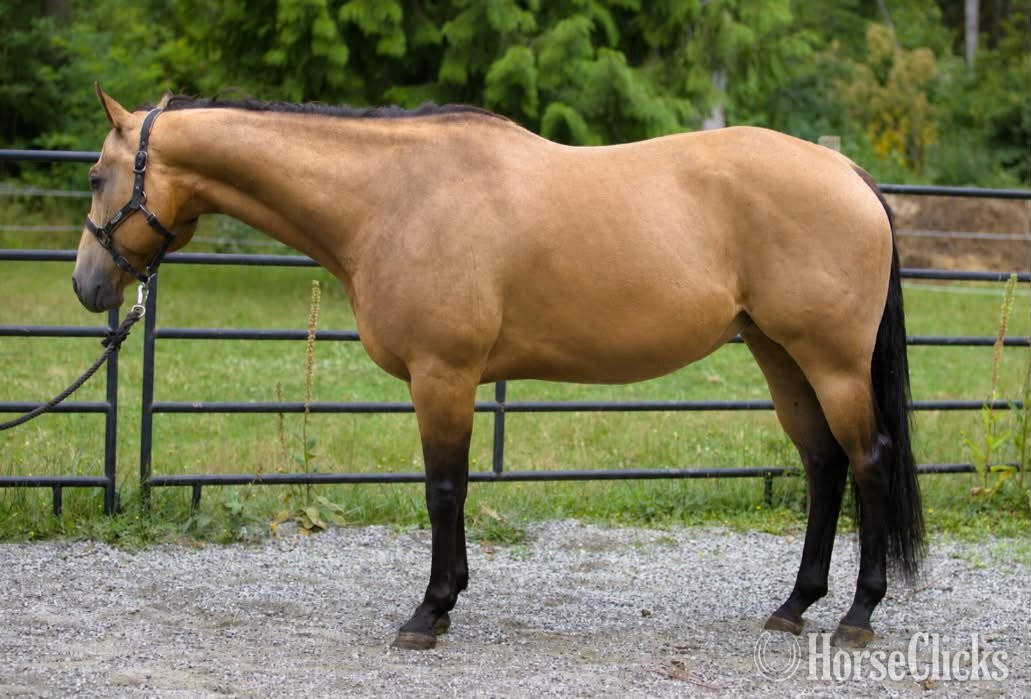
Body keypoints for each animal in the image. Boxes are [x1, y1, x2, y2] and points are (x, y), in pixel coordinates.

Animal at [73, 85, 924, 651]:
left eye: (94, 175)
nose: (87, 285)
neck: (393, 198)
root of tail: (846, 173)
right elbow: (453, 489)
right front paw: (448, 600)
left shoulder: (441, 375)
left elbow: (443, 489)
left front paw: (428, 611)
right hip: (780, 355)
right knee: (822, 465)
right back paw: (793, 606)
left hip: (831, 362)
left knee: (866, 460)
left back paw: (856, 615)